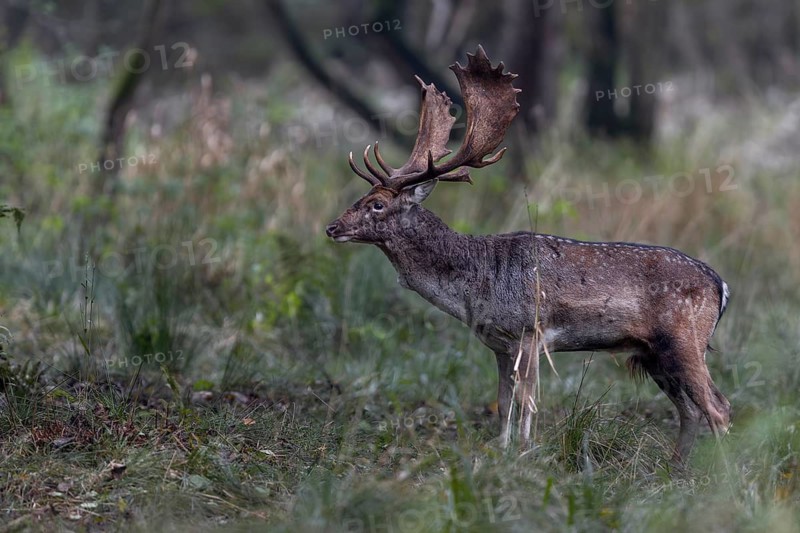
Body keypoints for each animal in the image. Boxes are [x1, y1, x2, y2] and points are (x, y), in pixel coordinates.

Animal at [325, 46, 731, 464]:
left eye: (376, 204)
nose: (333, 228)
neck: (476, 286)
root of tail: (721, 286)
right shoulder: (499, 344)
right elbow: (503, 402)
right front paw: (502, 452)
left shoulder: (531, 331)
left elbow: (528, 402)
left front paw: (524, 452)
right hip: (654, 353)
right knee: (690, 410)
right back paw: (675, 469)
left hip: (684, 339)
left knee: (718, 408)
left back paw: (722, 474)